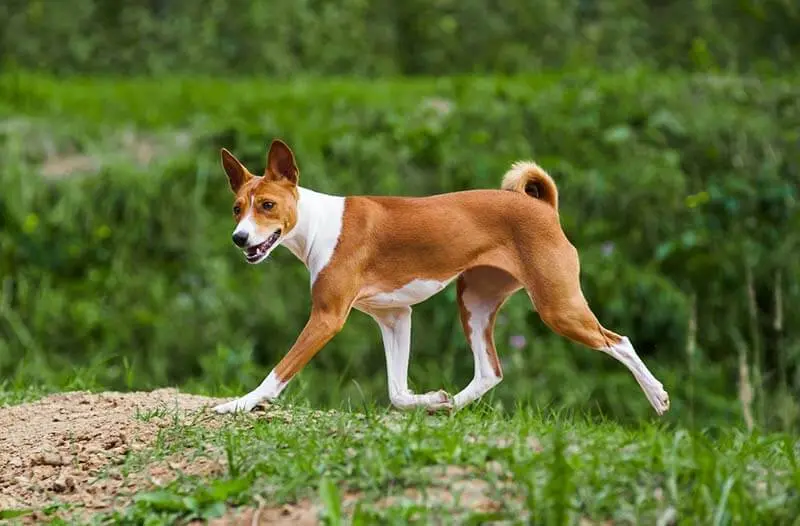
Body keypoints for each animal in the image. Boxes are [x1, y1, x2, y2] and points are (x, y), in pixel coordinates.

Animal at [212, 139, 668, 416]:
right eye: (236, 209)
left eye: (267, 205)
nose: (239, 238)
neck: (319, 224)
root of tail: (544, 208)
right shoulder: (394, 317)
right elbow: (397, 392)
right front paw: (429, 397)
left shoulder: (327, 317)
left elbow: (278, 372)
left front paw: (240, 404)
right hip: (474, 302)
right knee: (490, 372)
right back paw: (446, 406)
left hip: (559, 307)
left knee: (620, 342)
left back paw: (657, 396)